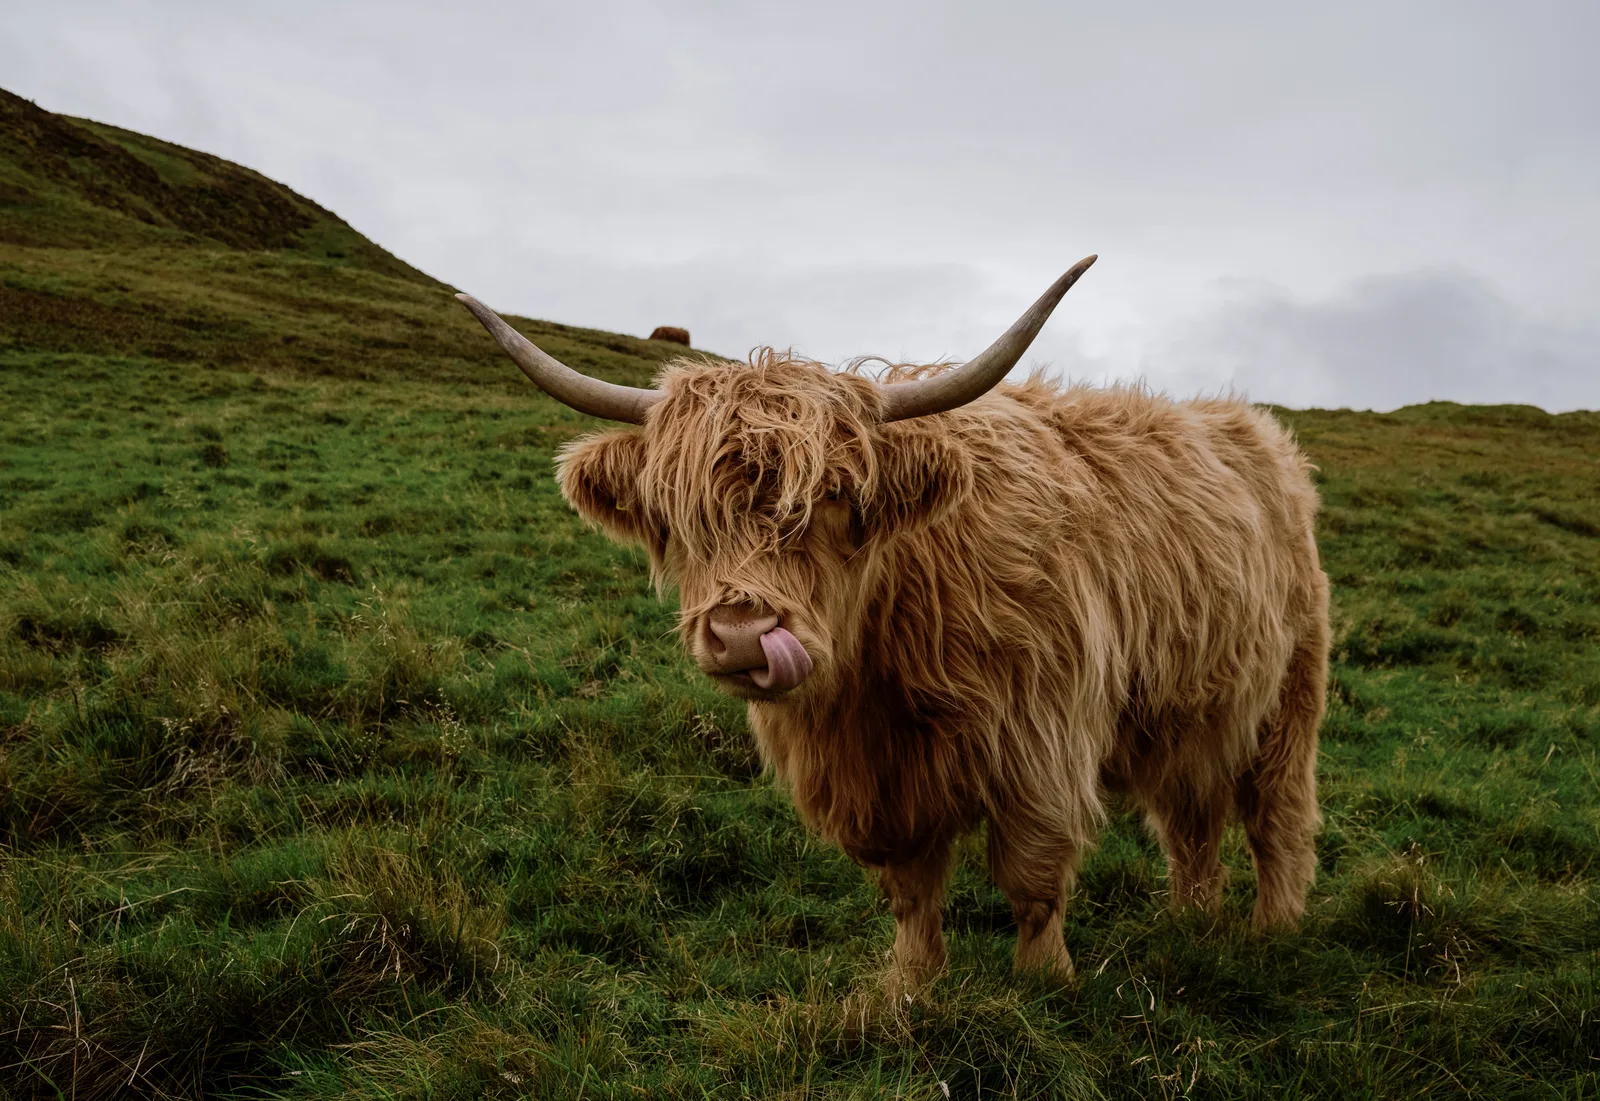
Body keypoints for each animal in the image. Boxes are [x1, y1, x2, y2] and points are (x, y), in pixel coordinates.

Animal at [456, 255, 1328, 991]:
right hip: (1191, 712)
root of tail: (1257, 432)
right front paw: (911, 983)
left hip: (1290, 694)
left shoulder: (1042, 742)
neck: (878, 672)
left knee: (1276, 813)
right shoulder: (875, 782)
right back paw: (1194, 923)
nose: (740, 633)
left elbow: (1032, 874)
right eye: (679, 517)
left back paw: (1272, 930)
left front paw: (1045, 980)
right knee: (1194, 821)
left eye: (837, 498)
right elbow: (910, 887)